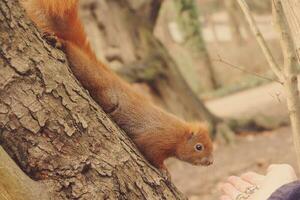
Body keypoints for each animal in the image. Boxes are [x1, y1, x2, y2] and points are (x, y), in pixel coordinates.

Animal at [21, 0, 213, 172]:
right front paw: (165, 170)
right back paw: (60, 43)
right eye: (199, 147)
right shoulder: (157, 138)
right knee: (74, 54)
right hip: (93, 78)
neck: (178, 135)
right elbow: (151, 152)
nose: (210, 161)